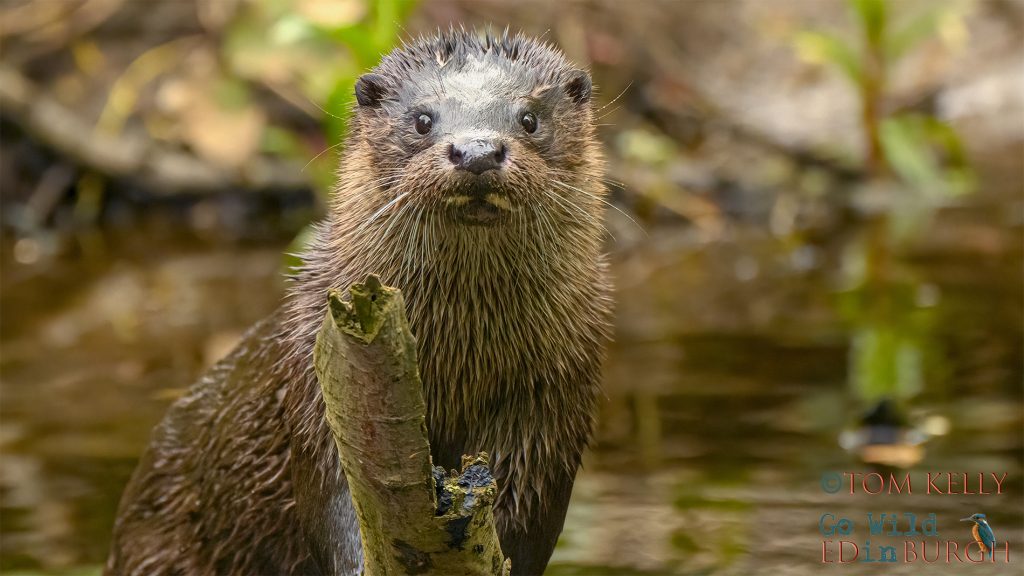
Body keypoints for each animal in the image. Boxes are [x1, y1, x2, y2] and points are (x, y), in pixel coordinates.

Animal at [106, 29, 612, 576]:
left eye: (529, 119)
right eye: (422, 119)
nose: (477, 150)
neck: (461, 358)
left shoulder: (555, 400)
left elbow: (529, 512)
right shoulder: (314, 390)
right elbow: (337, 502)